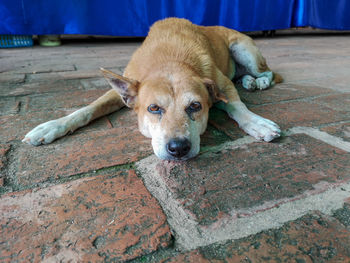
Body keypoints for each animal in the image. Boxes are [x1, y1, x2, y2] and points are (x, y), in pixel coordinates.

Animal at [22, 18, 282, 161]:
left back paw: (258, 82)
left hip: (244, 50)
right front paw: (52, 126)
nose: (178, 148)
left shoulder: (222, 83)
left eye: (195, 106)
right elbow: (88, 108)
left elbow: (238, 107)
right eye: (154, 108)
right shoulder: (124, 87)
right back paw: (248, 81)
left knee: (269, 73)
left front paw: (258, 123)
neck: (170, 58)